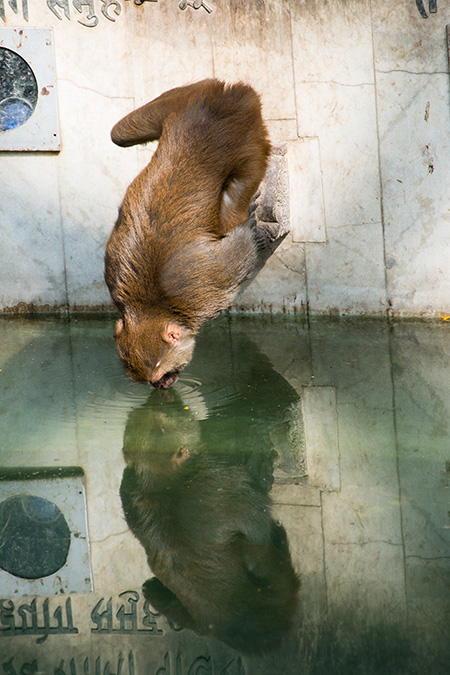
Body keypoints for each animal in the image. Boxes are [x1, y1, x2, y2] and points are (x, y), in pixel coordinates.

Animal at [104, 79, 278, 388]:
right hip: (189, 101)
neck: (150, 307)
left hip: (248, 139)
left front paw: (250, 229)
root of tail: (232, 98)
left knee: (236, 194)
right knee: (119, 133)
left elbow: (234, 259)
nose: (161, 385)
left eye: (161, 373)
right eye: (151, 380)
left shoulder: (204, 298)